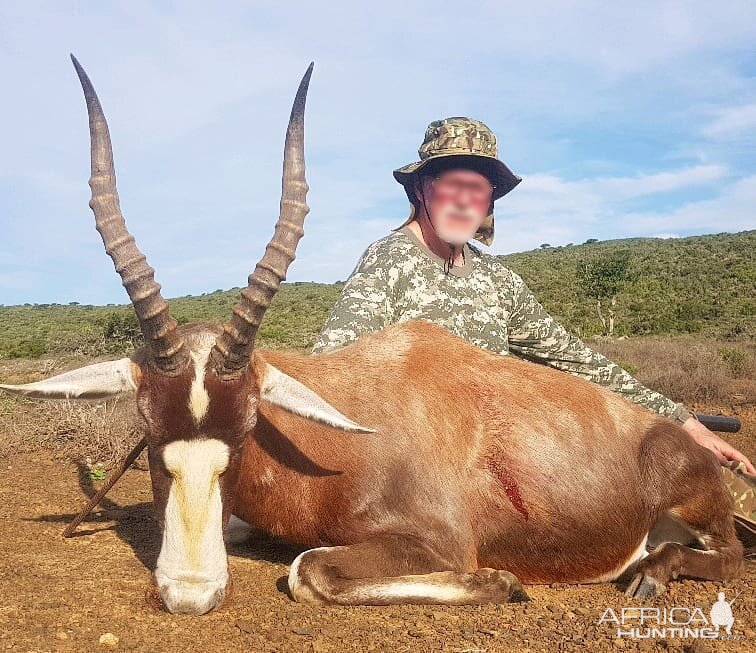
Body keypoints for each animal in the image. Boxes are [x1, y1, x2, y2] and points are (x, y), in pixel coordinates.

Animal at [1, 57, 744, 616]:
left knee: (730, 555)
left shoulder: (437, 541)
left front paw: (505, 582)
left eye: (247, 429)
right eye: (149, 433)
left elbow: (309, 570)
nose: (190, 594)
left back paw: (655, 571)